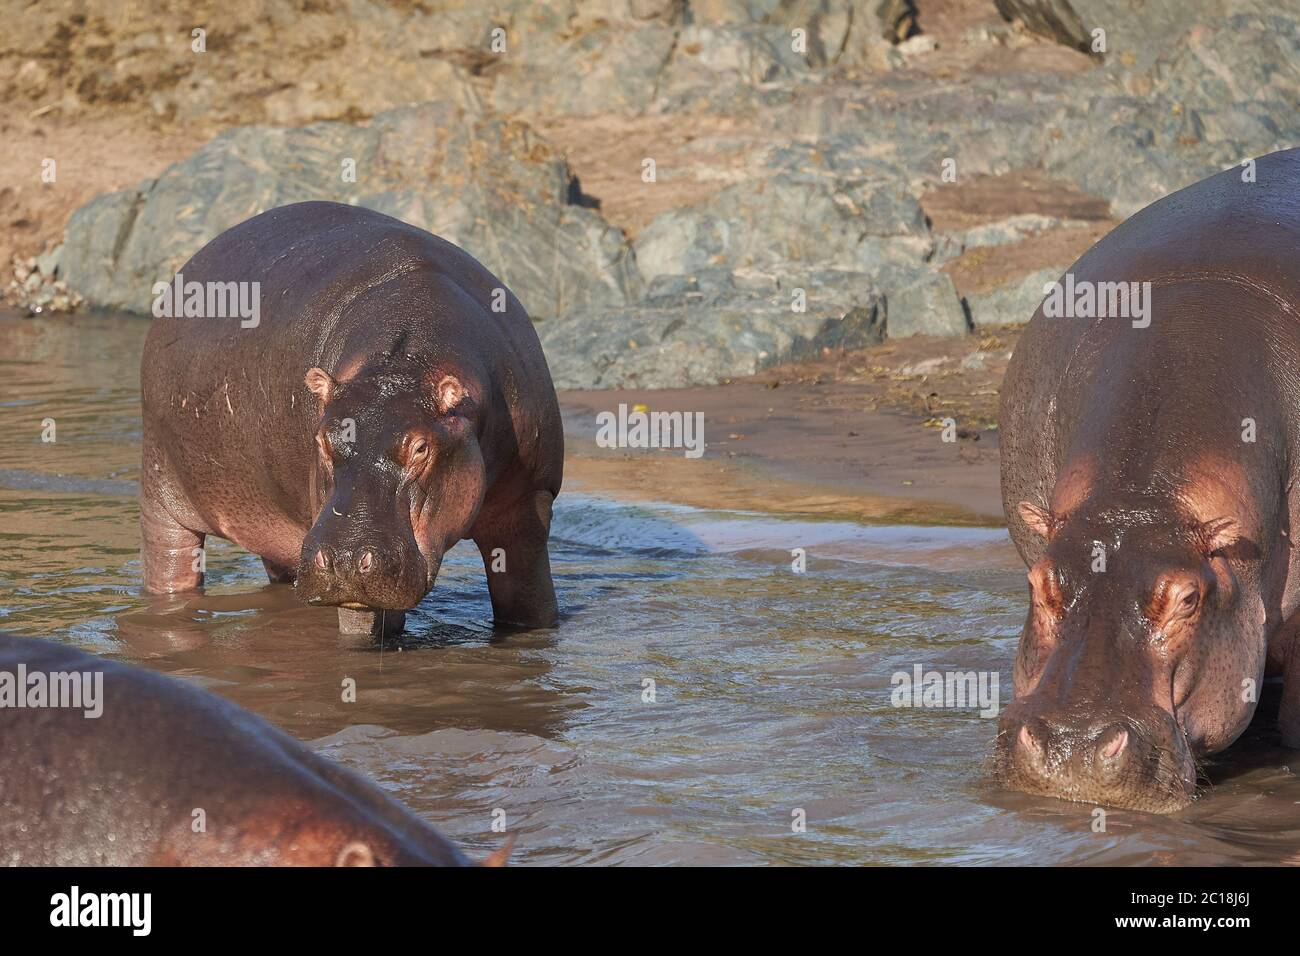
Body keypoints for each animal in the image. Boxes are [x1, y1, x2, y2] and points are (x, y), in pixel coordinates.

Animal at [138, 201, 564, 634]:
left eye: (421, 448)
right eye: (322, 440)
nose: (345, 559)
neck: (407, 358)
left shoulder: (529, 502)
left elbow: (530, 603)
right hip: (162, 493)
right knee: (170, 557)